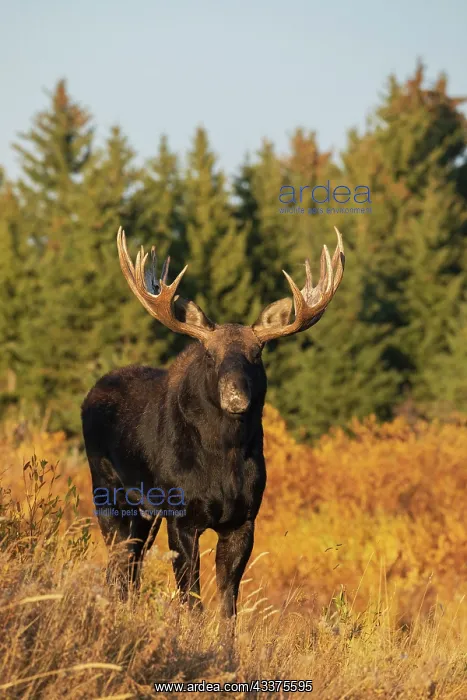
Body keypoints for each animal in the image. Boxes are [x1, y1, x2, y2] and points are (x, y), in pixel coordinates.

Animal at [81, 226, 345, 618]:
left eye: (257, 354)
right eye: (210, 355)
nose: (236, 398)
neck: (224, 461)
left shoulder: (243, 520)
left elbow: (227, 605)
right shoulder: (181, 515)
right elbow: (192, 602)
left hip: (143, 511)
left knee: (131, 567)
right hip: (107, 490)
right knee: (118, 563)